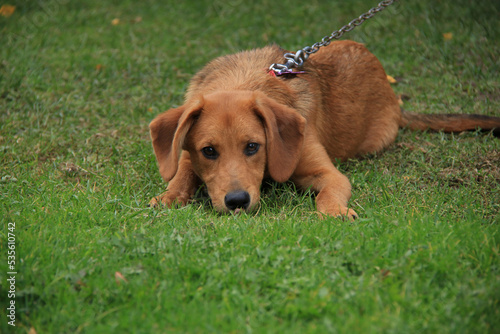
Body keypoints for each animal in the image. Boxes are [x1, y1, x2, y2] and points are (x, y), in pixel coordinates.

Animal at [148, 40, 500, 219]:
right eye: (209, 151)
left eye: (253, 146)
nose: (237, 201)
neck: (243, 81)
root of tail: (395, 101)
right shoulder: (188, 154)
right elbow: (182, 172)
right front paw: (168, 196)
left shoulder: (329, 174)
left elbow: (327, 196)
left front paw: (334, 212)